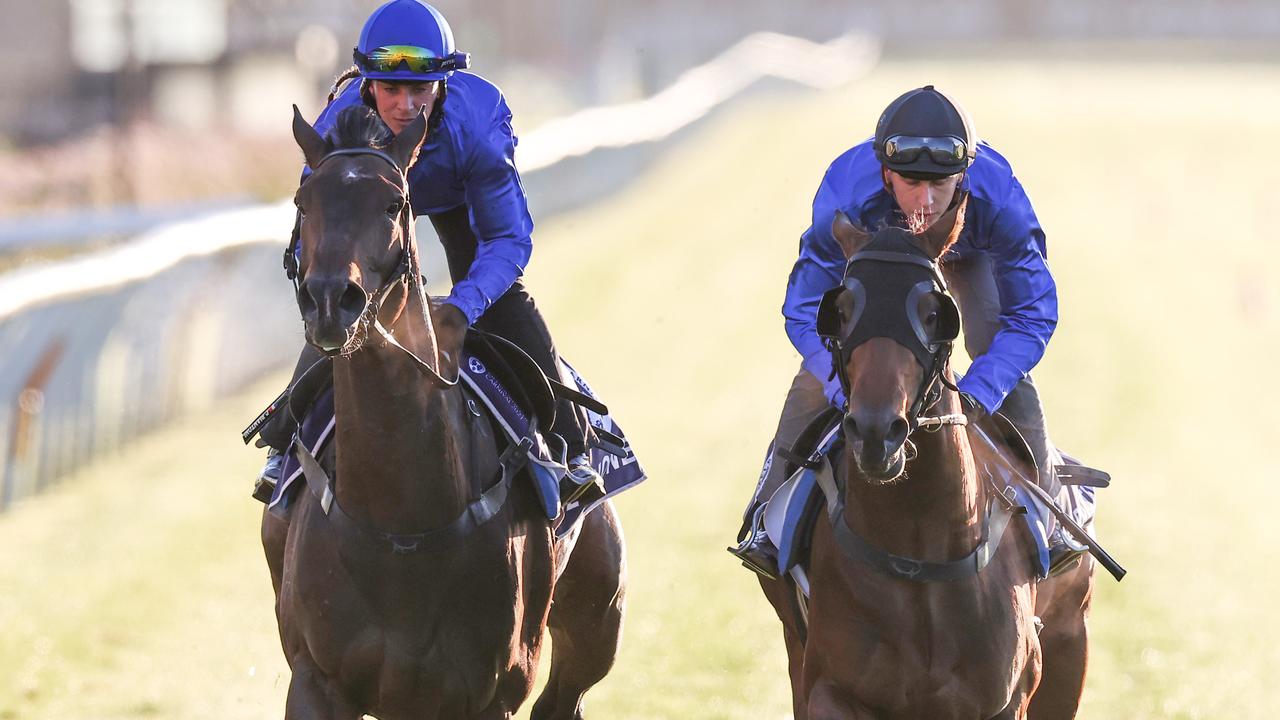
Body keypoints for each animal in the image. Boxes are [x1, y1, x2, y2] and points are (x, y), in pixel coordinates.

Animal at [261, 106, 624, 717]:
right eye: (303, 202)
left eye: (393, 203)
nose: (332, 301)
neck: (401, 523)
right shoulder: (316, 681)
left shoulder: (490, 692)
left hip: (596, 620)